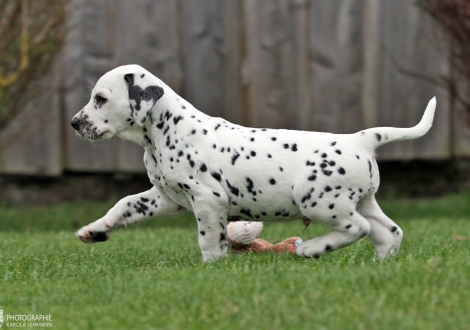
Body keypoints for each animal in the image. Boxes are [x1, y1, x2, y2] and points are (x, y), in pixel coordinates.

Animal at [70, 63, 436, 260]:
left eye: (100, 99)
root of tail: (360, 138)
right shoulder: (165, 197)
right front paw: (96, 230)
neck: (167, 130)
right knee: (389, 231)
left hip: (319, 200)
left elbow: (209, 239)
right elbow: (124, 205)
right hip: (363, 201)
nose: (74, 123)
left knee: (357, 228)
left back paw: (312, 248)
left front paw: (212, 266)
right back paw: (380, 263)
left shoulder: (207, 200)